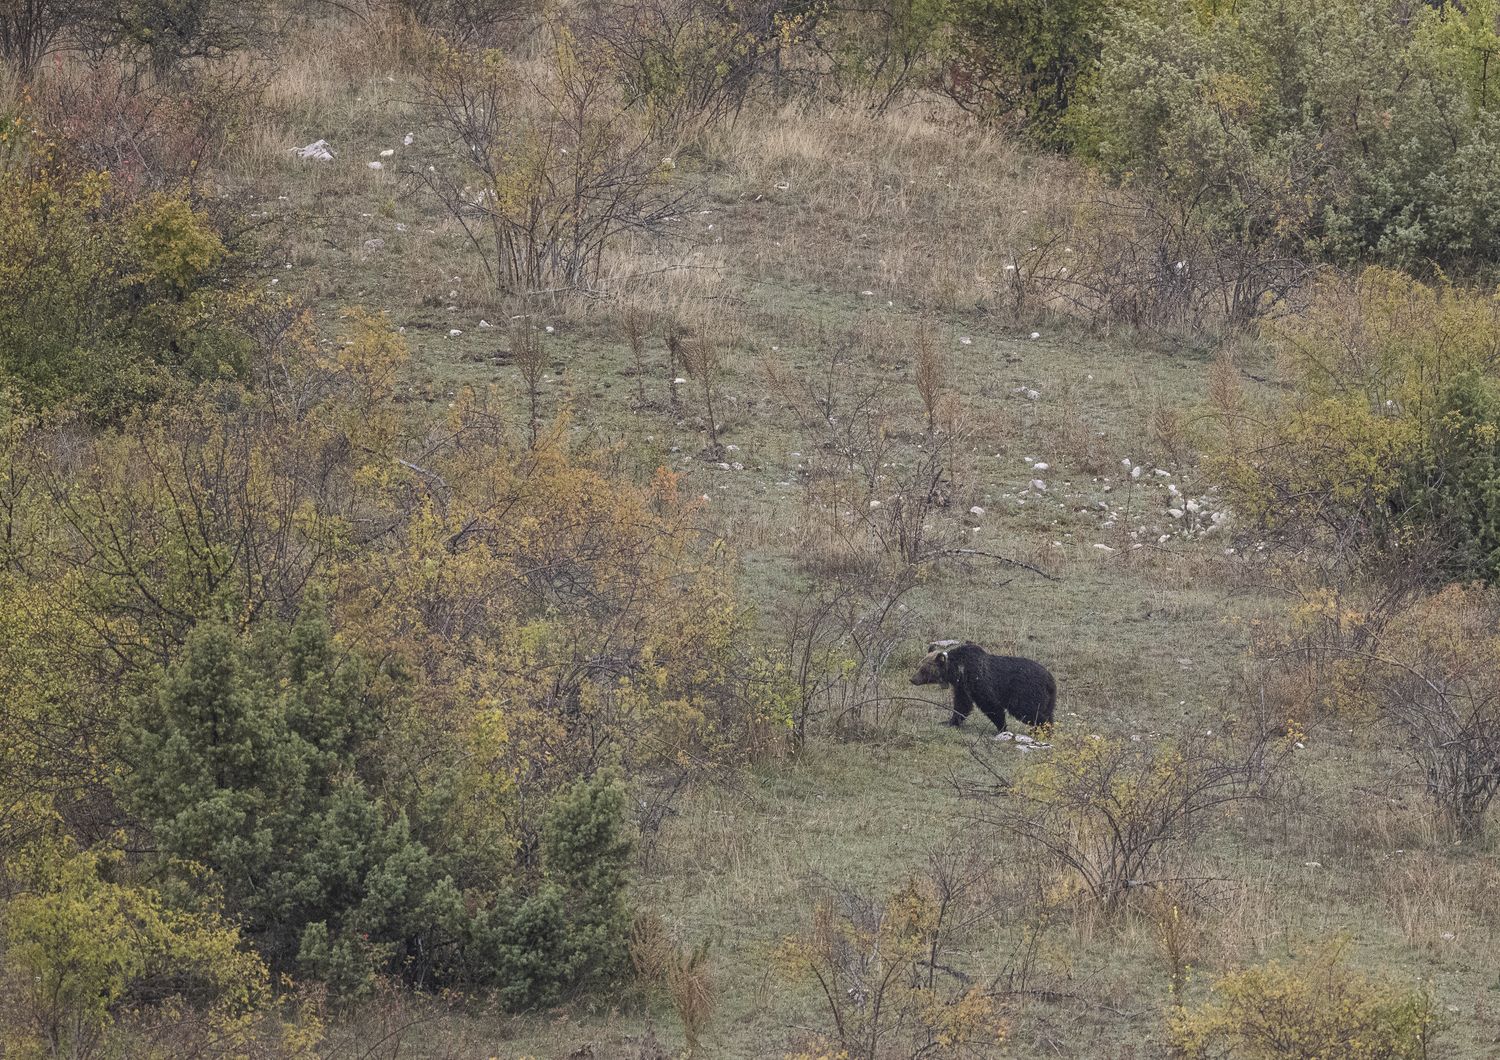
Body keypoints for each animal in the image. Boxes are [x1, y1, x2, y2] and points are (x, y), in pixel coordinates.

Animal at [906, 641, 1062, 734]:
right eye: (919, 665)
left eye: (923, 669)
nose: (913, 679)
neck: (959, 670)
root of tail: (1050, 680)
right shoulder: (962, 687)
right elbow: (962, 704)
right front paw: (950, 721)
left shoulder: (978, 681)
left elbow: (990, 704)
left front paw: (1001, 727)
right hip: (1049, 698)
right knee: (1048, 712)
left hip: (1026, 692)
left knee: (1029, 712)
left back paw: (1044, 730)